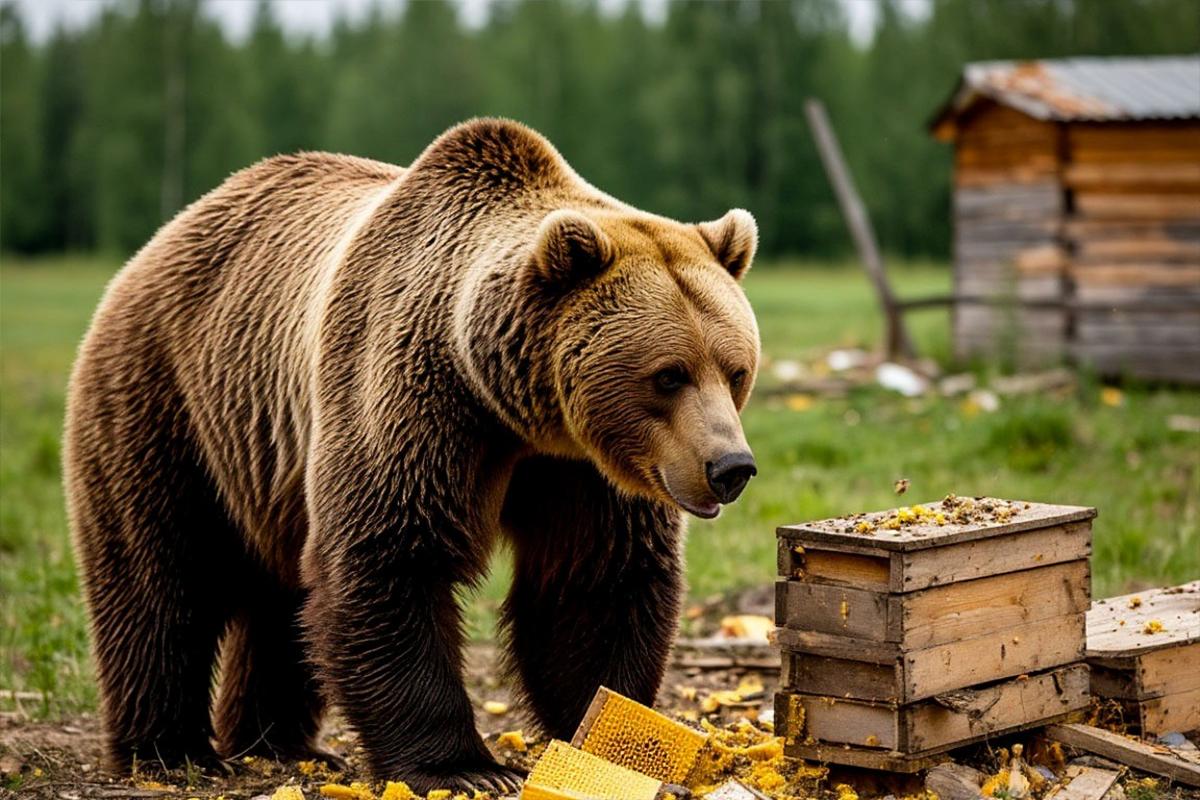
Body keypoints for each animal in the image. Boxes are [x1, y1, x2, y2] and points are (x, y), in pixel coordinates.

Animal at [63, 118, 760, 791]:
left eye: (735, 371)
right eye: (668, 375)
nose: (730, 468)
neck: (513, 409)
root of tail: (163, 237)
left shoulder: (581, 469)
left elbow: (595, 580)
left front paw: (609, 737)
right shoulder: (410, 396)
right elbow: (391, 555)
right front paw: (466, 768)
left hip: (264, 461)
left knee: (281, 597)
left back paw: (279, 743)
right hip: (169, 399)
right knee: (159, 575)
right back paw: (167, 750)